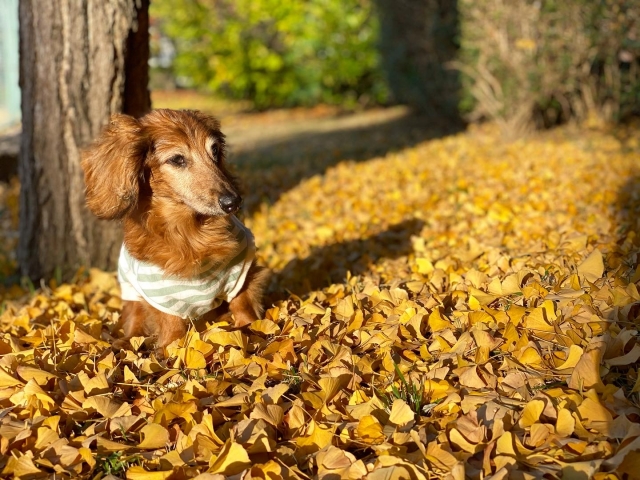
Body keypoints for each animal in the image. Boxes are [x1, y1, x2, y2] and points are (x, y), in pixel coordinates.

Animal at [82, 109, 268, 356]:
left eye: (215, 151)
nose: (233, 202)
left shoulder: (240, 270)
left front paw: (250, 330)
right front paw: (173, 349)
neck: (190, 233)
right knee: (135, 324)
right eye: (177, 159)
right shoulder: (159, 294)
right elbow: (171, 323)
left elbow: (242, 302)